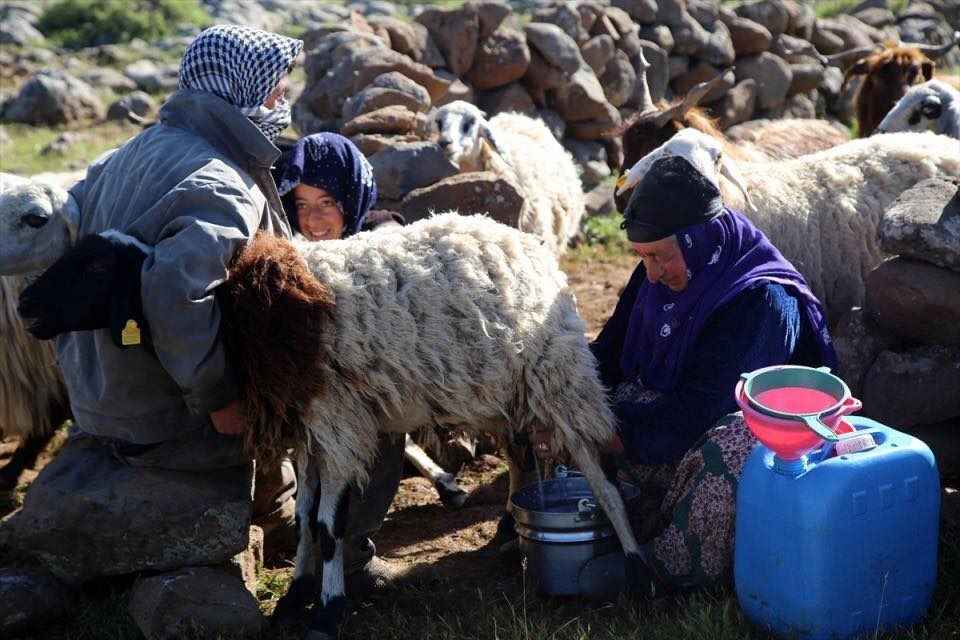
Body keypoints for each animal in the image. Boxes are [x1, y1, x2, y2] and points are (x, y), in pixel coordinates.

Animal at [15, 214, 644, 640]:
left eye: (95, 265)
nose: (24, 306)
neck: (238, 314)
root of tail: (521, 241)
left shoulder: (337, 424)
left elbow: (327, 525)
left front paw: (329, 609)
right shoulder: (308, 431)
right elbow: (302, 518)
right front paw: (295, 596)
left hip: (556, 373)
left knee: (601, 473)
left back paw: (636, 562)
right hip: (501, 391)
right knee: (520, 452)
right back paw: (510, 529)